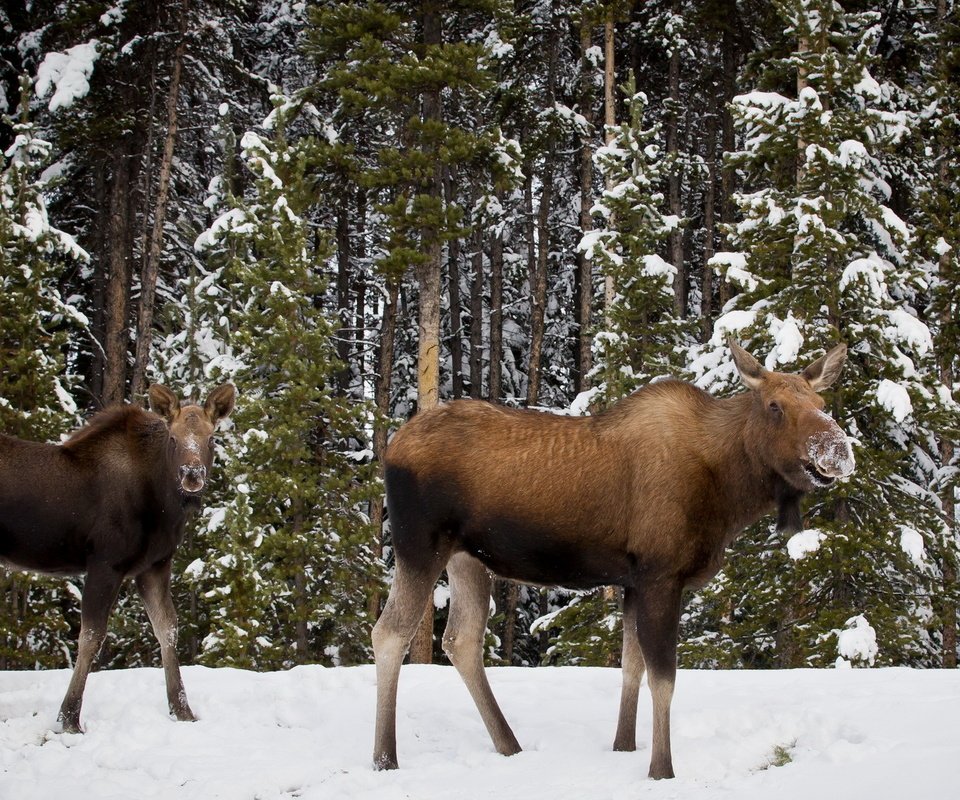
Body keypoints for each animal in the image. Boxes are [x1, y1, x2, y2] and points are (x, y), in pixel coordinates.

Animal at [0, 384, 236, 736]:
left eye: (211, 438)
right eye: (173, 439)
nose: (192, 474)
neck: (163, 505)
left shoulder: (154, 565)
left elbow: (167, 628)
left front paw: (183, 711)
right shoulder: (105, 563)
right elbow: (91, 637)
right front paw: (69, 719)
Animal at [374, 340, 856, 780]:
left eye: (821, 403)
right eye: (775, 406)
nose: (838, 450)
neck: (729, 492)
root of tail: (391, 448)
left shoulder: (633, 582)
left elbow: (631, 666)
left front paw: (624, 746)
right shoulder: (662, 575)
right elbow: (664, 677)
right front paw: (661, 769)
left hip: (468, 558)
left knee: (461, 640)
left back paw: (508, 744)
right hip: (419, 544)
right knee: (390, 633)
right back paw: (385, 758)